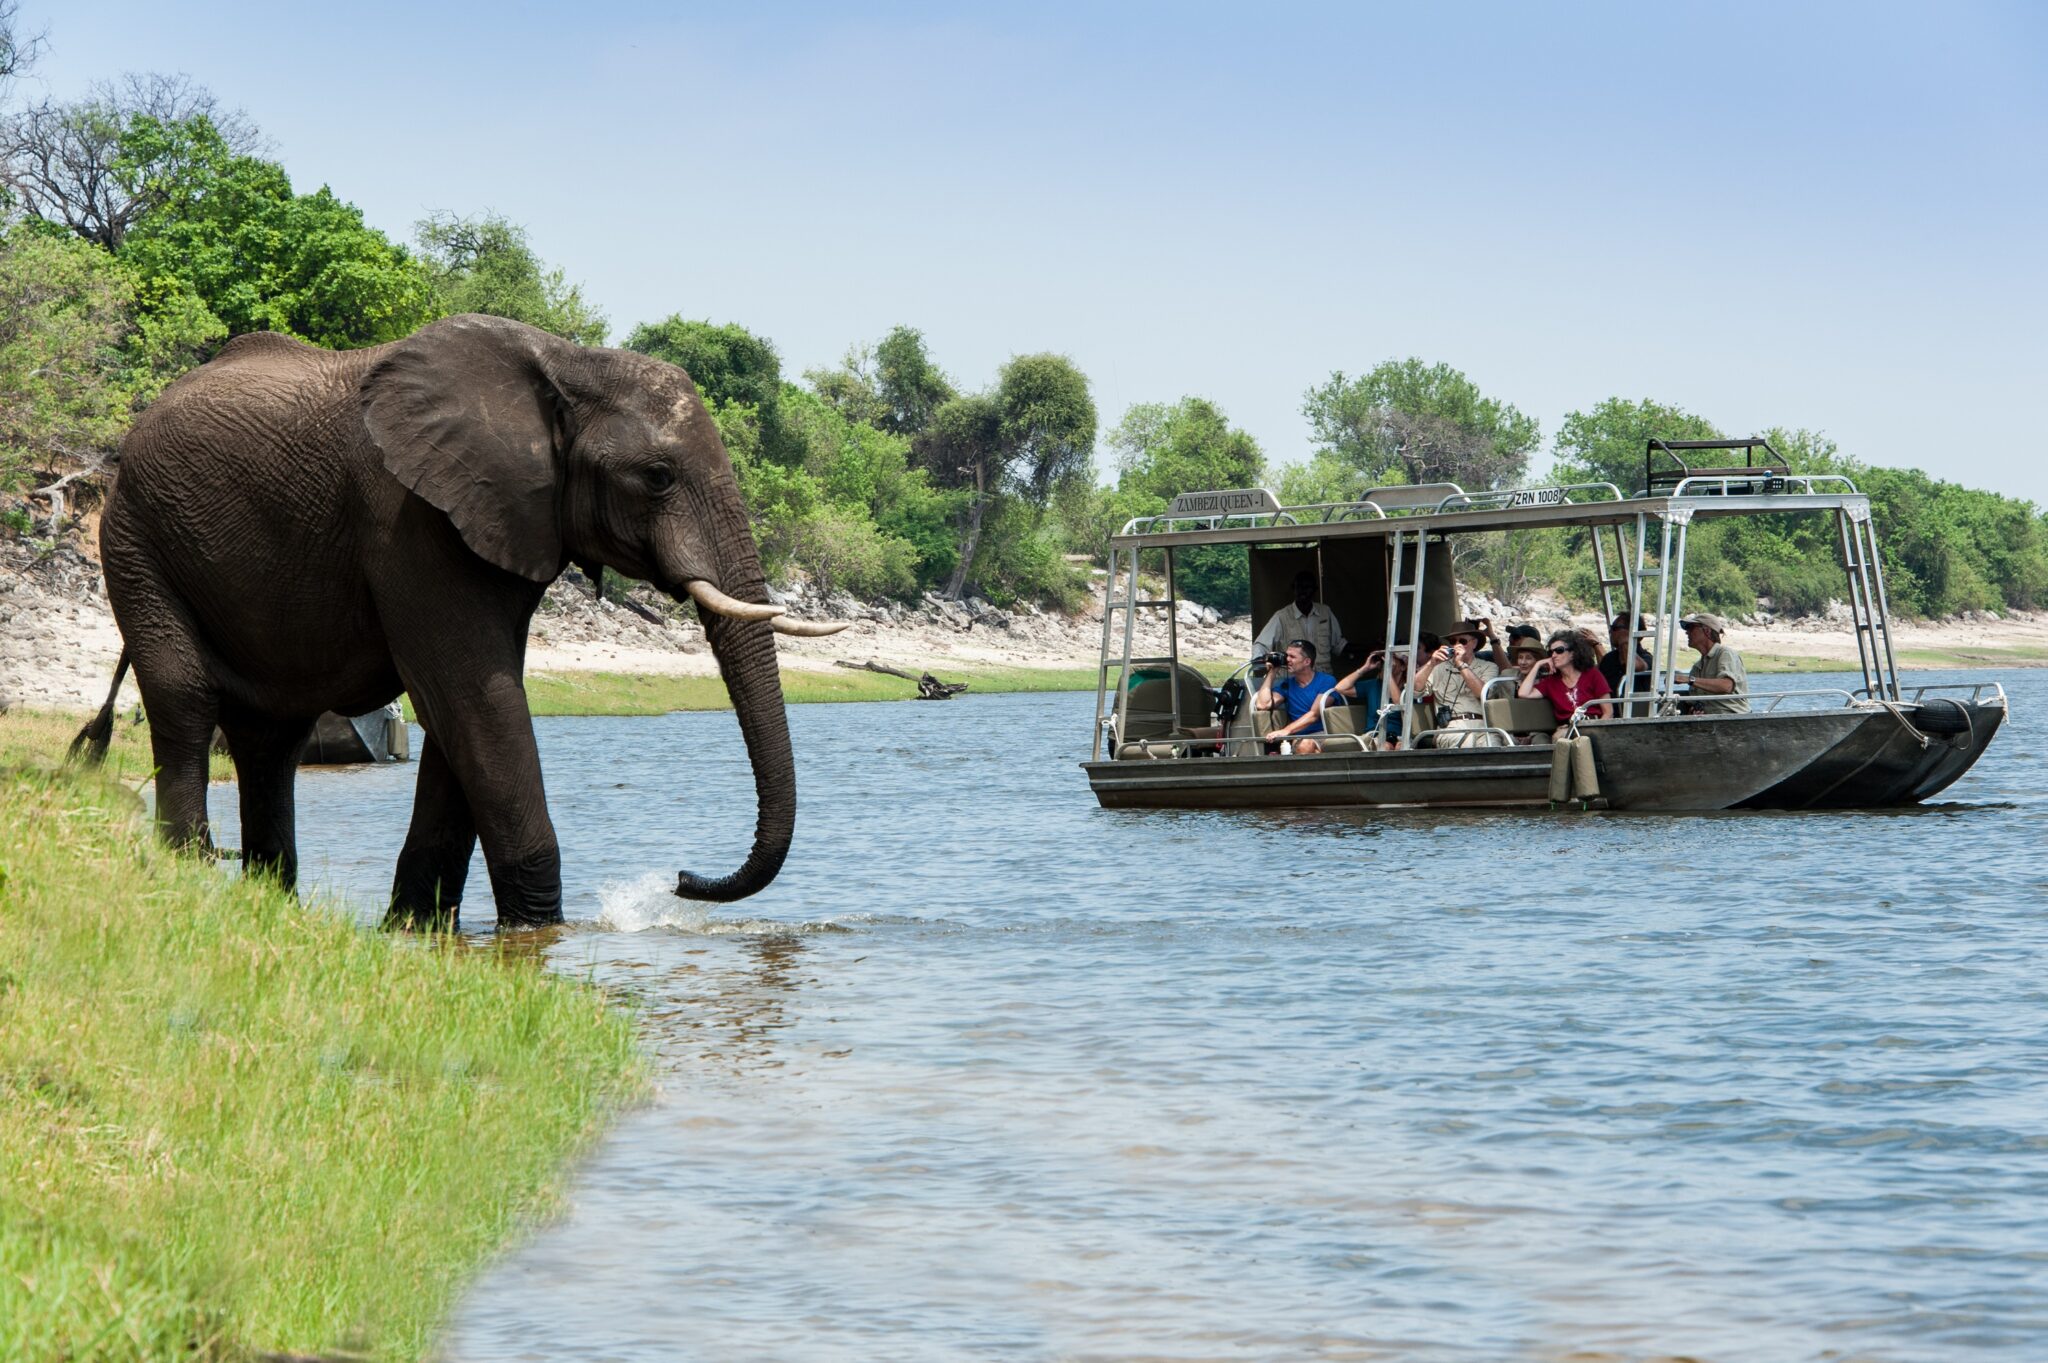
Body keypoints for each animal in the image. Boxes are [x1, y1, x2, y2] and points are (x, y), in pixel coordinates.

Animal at [72, 311, 839, 925]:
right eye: (657, 477)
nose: (680, 879)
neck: (567, 363)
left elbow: (463, 713)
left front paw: (416, 926)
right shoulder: (411, 518)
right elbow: (476, 699)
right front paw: (536, 931)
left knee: (270, 740)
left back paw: (269, 900)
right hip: (135, 537)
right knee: (185, 697)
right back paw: (192, 874)